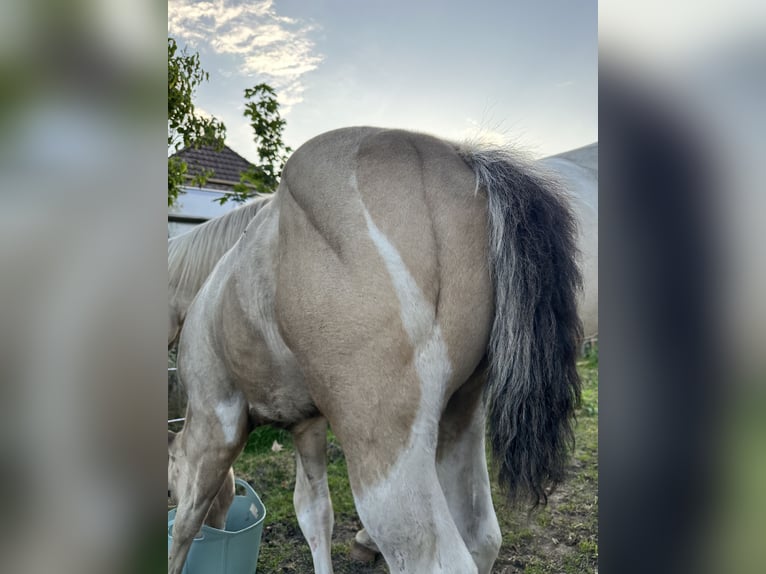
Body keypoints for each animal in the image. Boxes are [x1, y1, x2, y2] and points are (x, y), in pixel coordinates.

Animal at [167, 127, 583, 574]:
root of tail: (461, 161)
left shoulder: (214, 423)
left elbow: (186, 523)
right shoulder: (307, 424)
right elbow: (314, 513)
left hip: (387, 458)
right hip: (462, 415)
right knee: (483, 536)